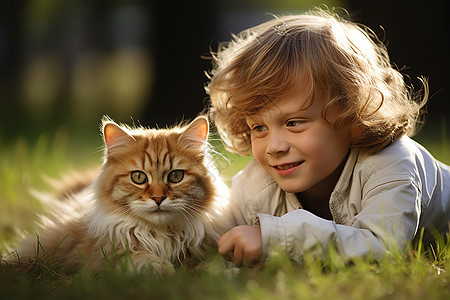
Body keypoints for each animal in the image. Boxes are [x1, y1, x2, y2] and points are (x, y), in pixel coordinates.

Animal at [7, 115, 229, 276]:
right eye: (138, 177)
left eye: (176, 176)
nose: (158, 199)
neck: (159, 235)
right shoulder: (97, 255)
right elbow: (134, 257)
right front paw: (162, 268)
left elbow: (216, 260)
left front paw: (213, 269)